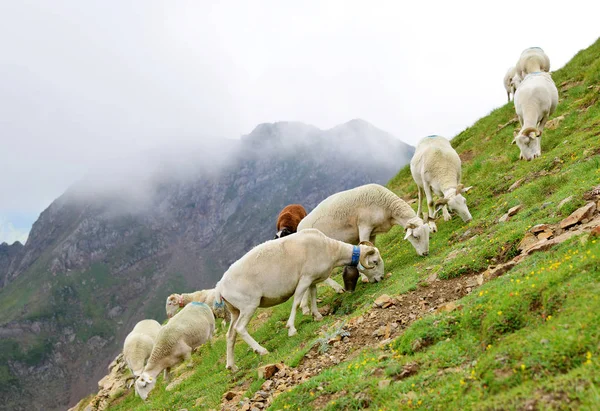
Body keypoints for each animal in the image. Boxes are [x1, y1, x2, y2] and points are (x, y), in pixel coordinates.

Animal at [213, 229, 382, 374]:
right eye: (375, 262)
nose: (381, 278)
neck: (331, 249)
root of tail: (220, 287)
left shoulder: (312, 279)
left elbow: (313, 294)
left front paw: (317, 315)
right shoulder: (305, 278)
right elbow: (296, 302)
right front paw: (291, 328)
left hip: (235, 310)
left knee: (230, 335)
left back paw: (232, 366)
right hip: (249, 305)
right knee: (240, 328)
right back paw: (261, 350)